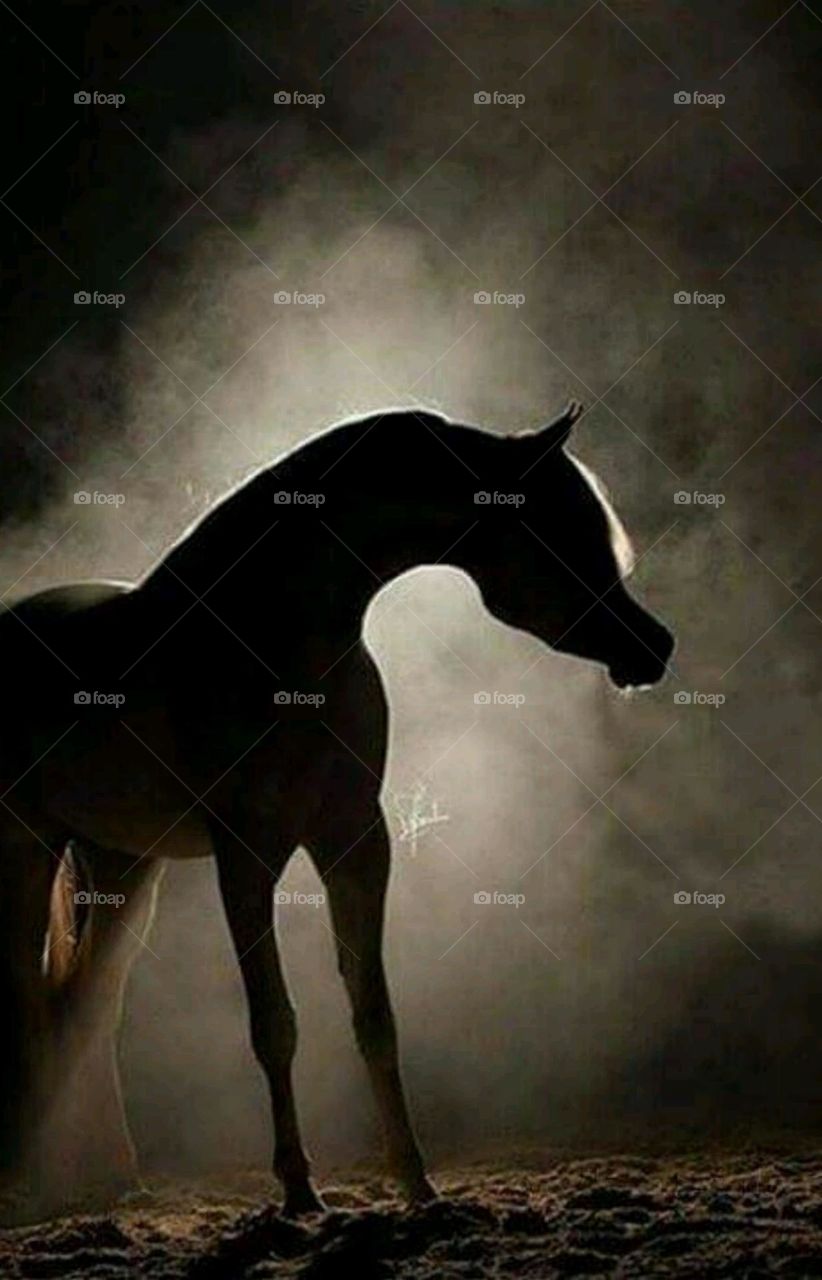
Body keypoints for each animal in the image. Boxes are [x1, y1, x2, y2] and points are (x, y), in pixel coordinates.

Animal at [0, 401, 674, 1218]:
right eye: (561, 531)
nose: (654, 646)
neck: (276, 642)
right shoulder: (247, 857)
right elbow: (274, 1024)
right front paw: (297, 1188)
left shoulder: (355, 841)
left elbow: (375, 1015)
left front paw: (418, 1183)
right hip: (25, 847)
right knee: (32, 1000)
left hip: (123, 864)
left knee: (87, 1007)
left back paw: (100, 1176)